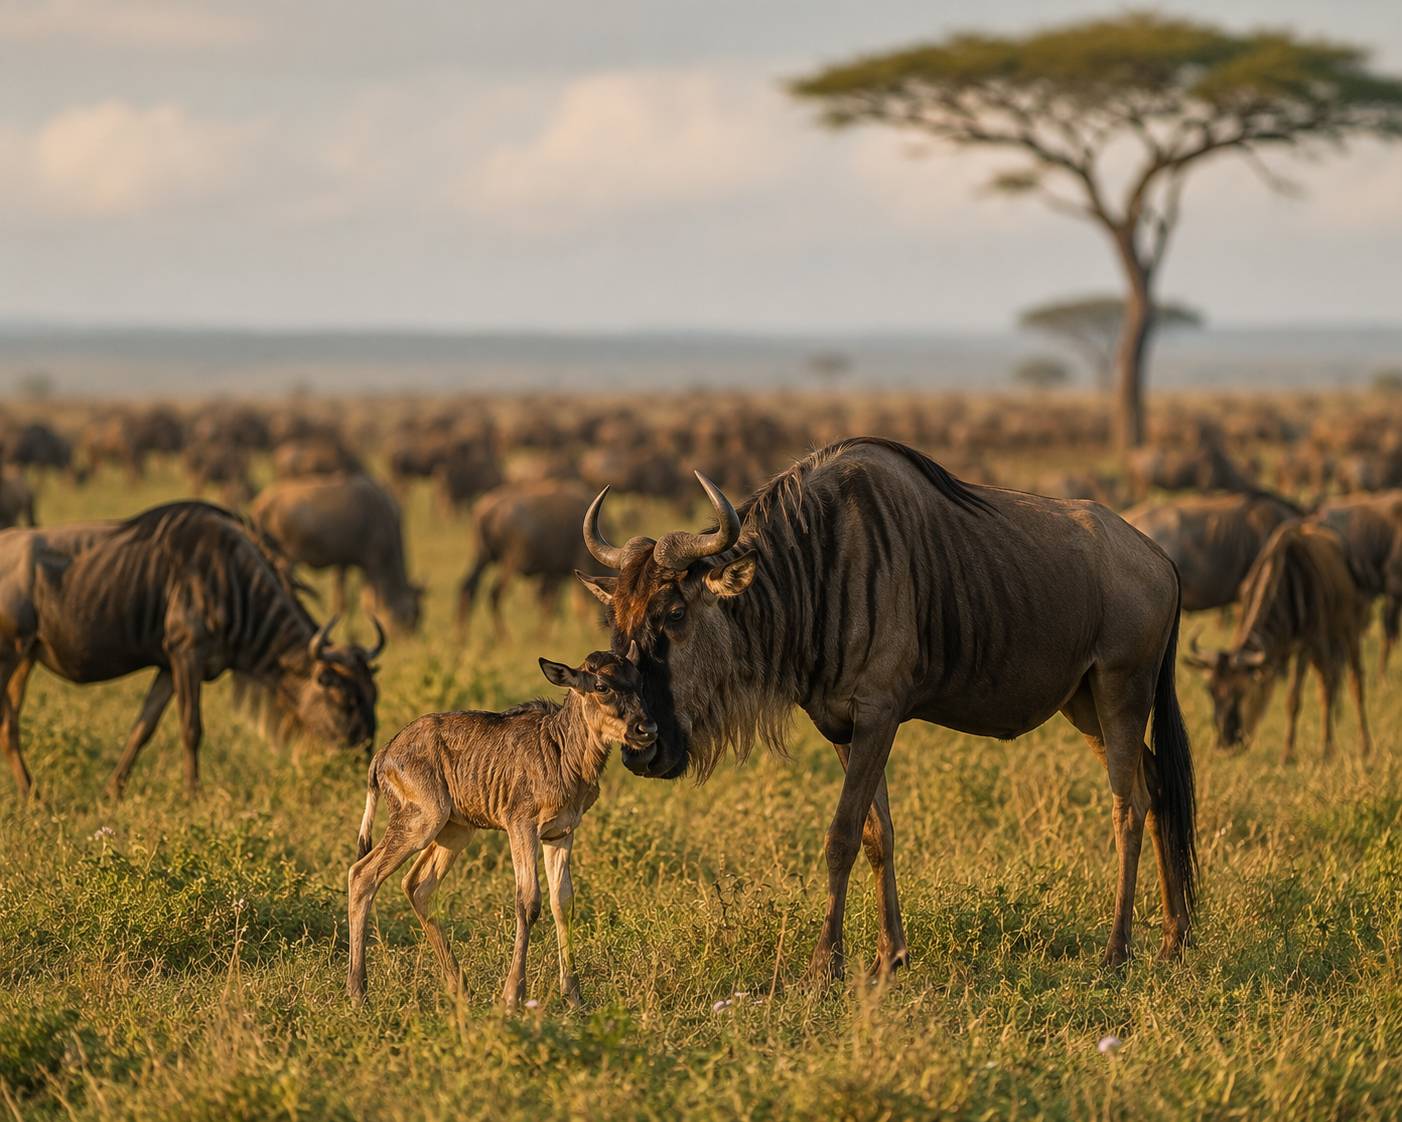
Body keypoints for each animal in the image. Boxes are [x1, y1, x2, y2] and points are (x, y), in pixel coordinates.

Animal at [0, 502, 380, 801]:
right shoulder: (187, 656)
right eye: (346, 699)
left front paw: (113, 791)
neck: (234, 582)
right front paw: (193, 794)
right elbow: (191, 728)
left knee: (11, 722)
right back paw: (29, 793)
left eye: (373, 696)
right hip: (10, 655)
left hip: (25, 659)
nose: (366, 759)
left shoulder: (169, 668)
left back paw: (31, 793)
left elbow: (143, 727)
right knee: (7, 719)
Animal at [578, 438, 1197, 975]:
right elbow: (880, 835)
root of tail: (1161, 558)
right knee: (1156, 783)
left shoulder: (879, 714)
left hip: (1121, 691)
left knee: (1128, 805)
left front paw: (825, 965)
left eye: (675, 613)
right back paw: (1174, 940)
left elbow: (843, 834)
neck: (813, 570)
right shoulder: (842, 728)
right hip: (1084, 704)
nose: (641, 749)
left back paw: (1118, 951)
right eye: (617, 620)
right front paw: (888, 958)